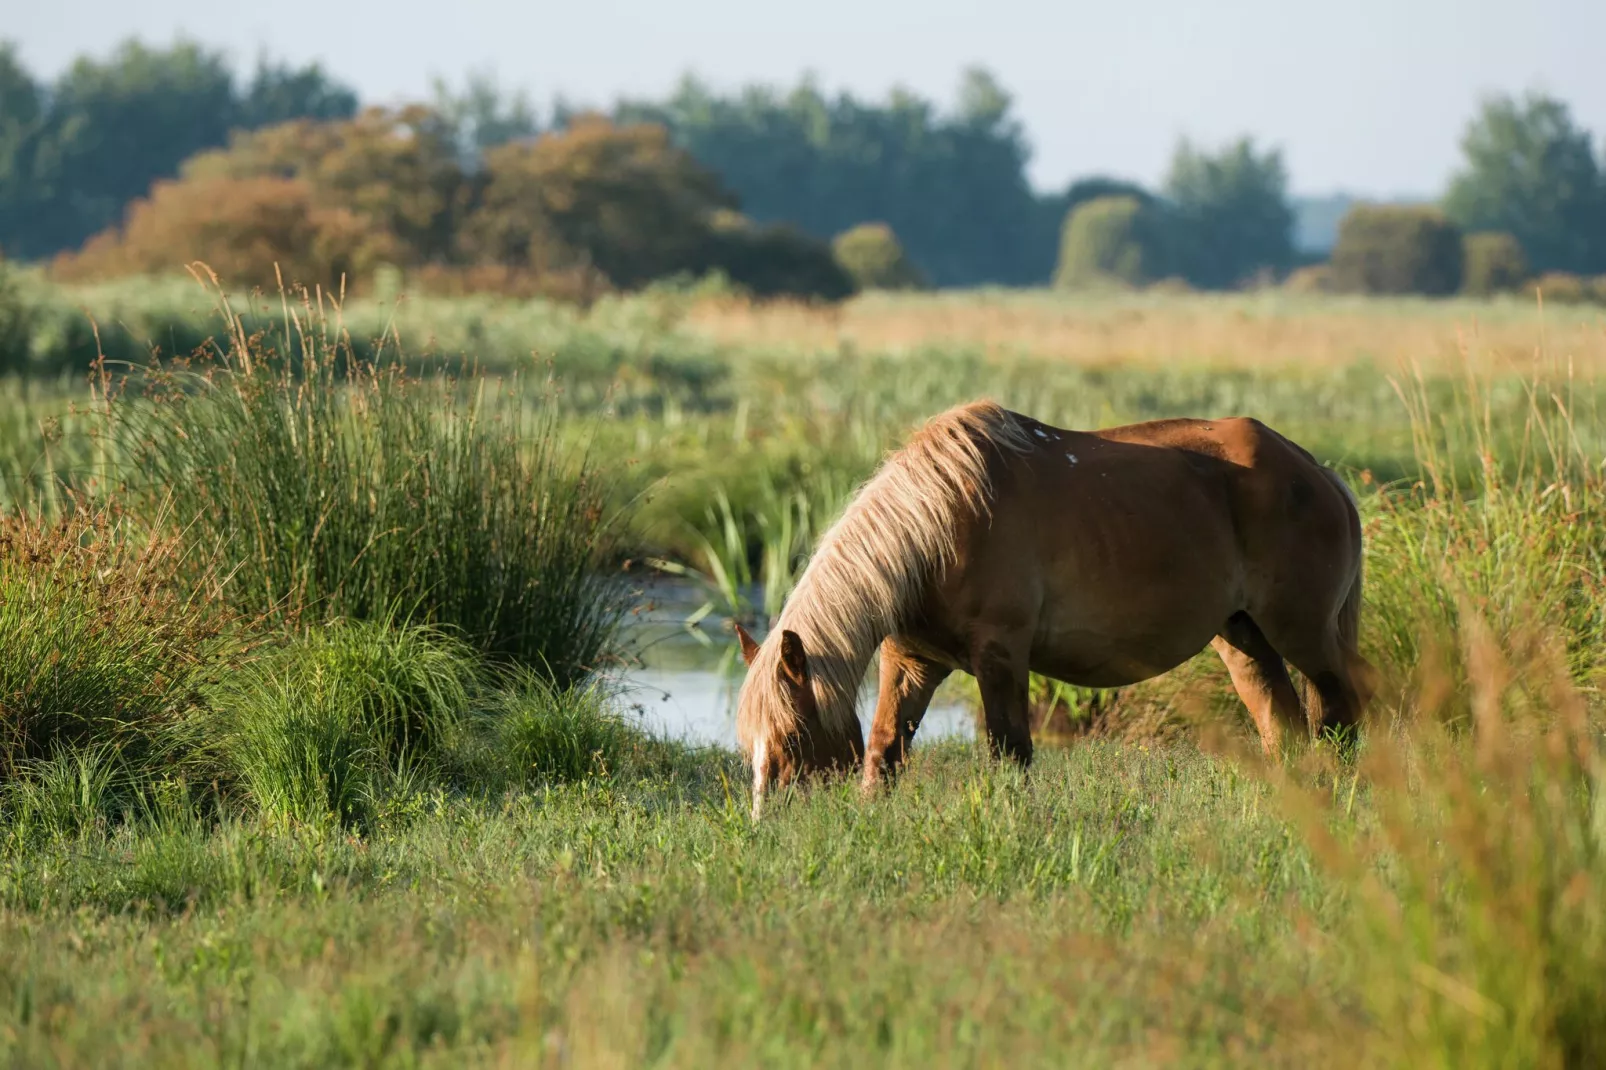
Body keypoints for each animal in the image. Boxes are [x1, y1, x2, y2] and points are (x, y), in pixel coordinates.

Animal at [735, 395, 1374, 812]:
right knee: (1282, 727)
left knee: (1340, 716)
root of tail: (1318, 472)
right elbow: (885, 750)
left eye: (792, 735)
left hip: (1303, 634)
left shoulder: (1000, 655)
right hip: (1244, 639)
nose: (770, 821)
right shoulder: (913, 661)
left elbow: (1009, 752)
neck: (938, 524)